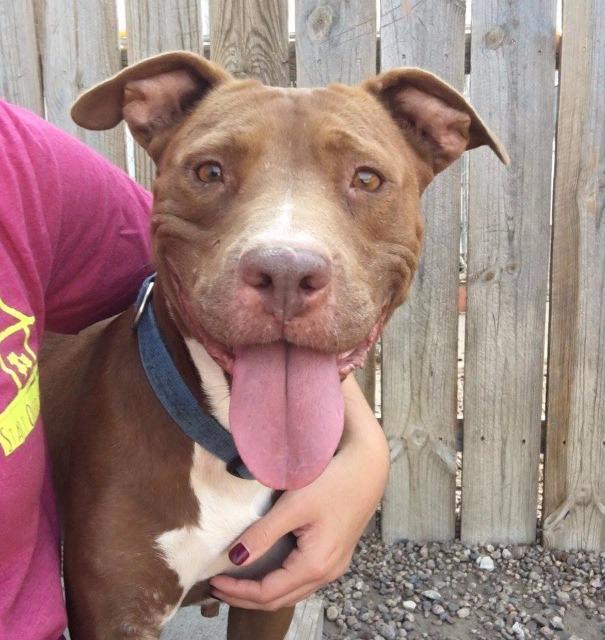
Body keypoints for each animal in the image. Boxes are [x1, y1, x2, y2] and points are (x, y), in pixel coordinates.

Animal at [40, 51, 508, 640]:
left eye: (367, 178)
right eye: (209, 171)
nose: (286, 271)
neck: (227, 454)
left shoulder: (270, 595)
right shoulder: (114, 614)